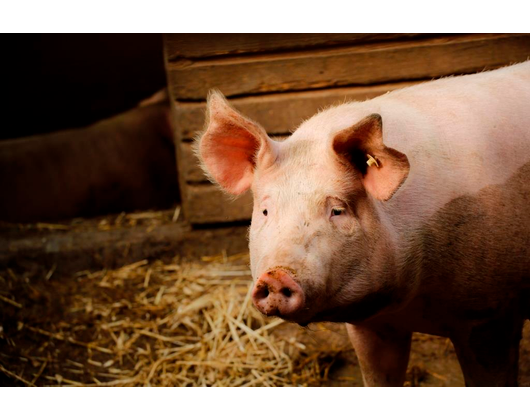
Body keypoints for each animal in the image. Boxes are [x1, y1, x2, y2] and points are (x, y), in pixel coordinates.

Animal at [197, 62, 528, 388]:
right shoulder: (373, 325)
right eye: (266, 210)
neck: (412, 305)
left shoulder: (489, 317)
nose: (277, 276)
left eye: (337, 210)